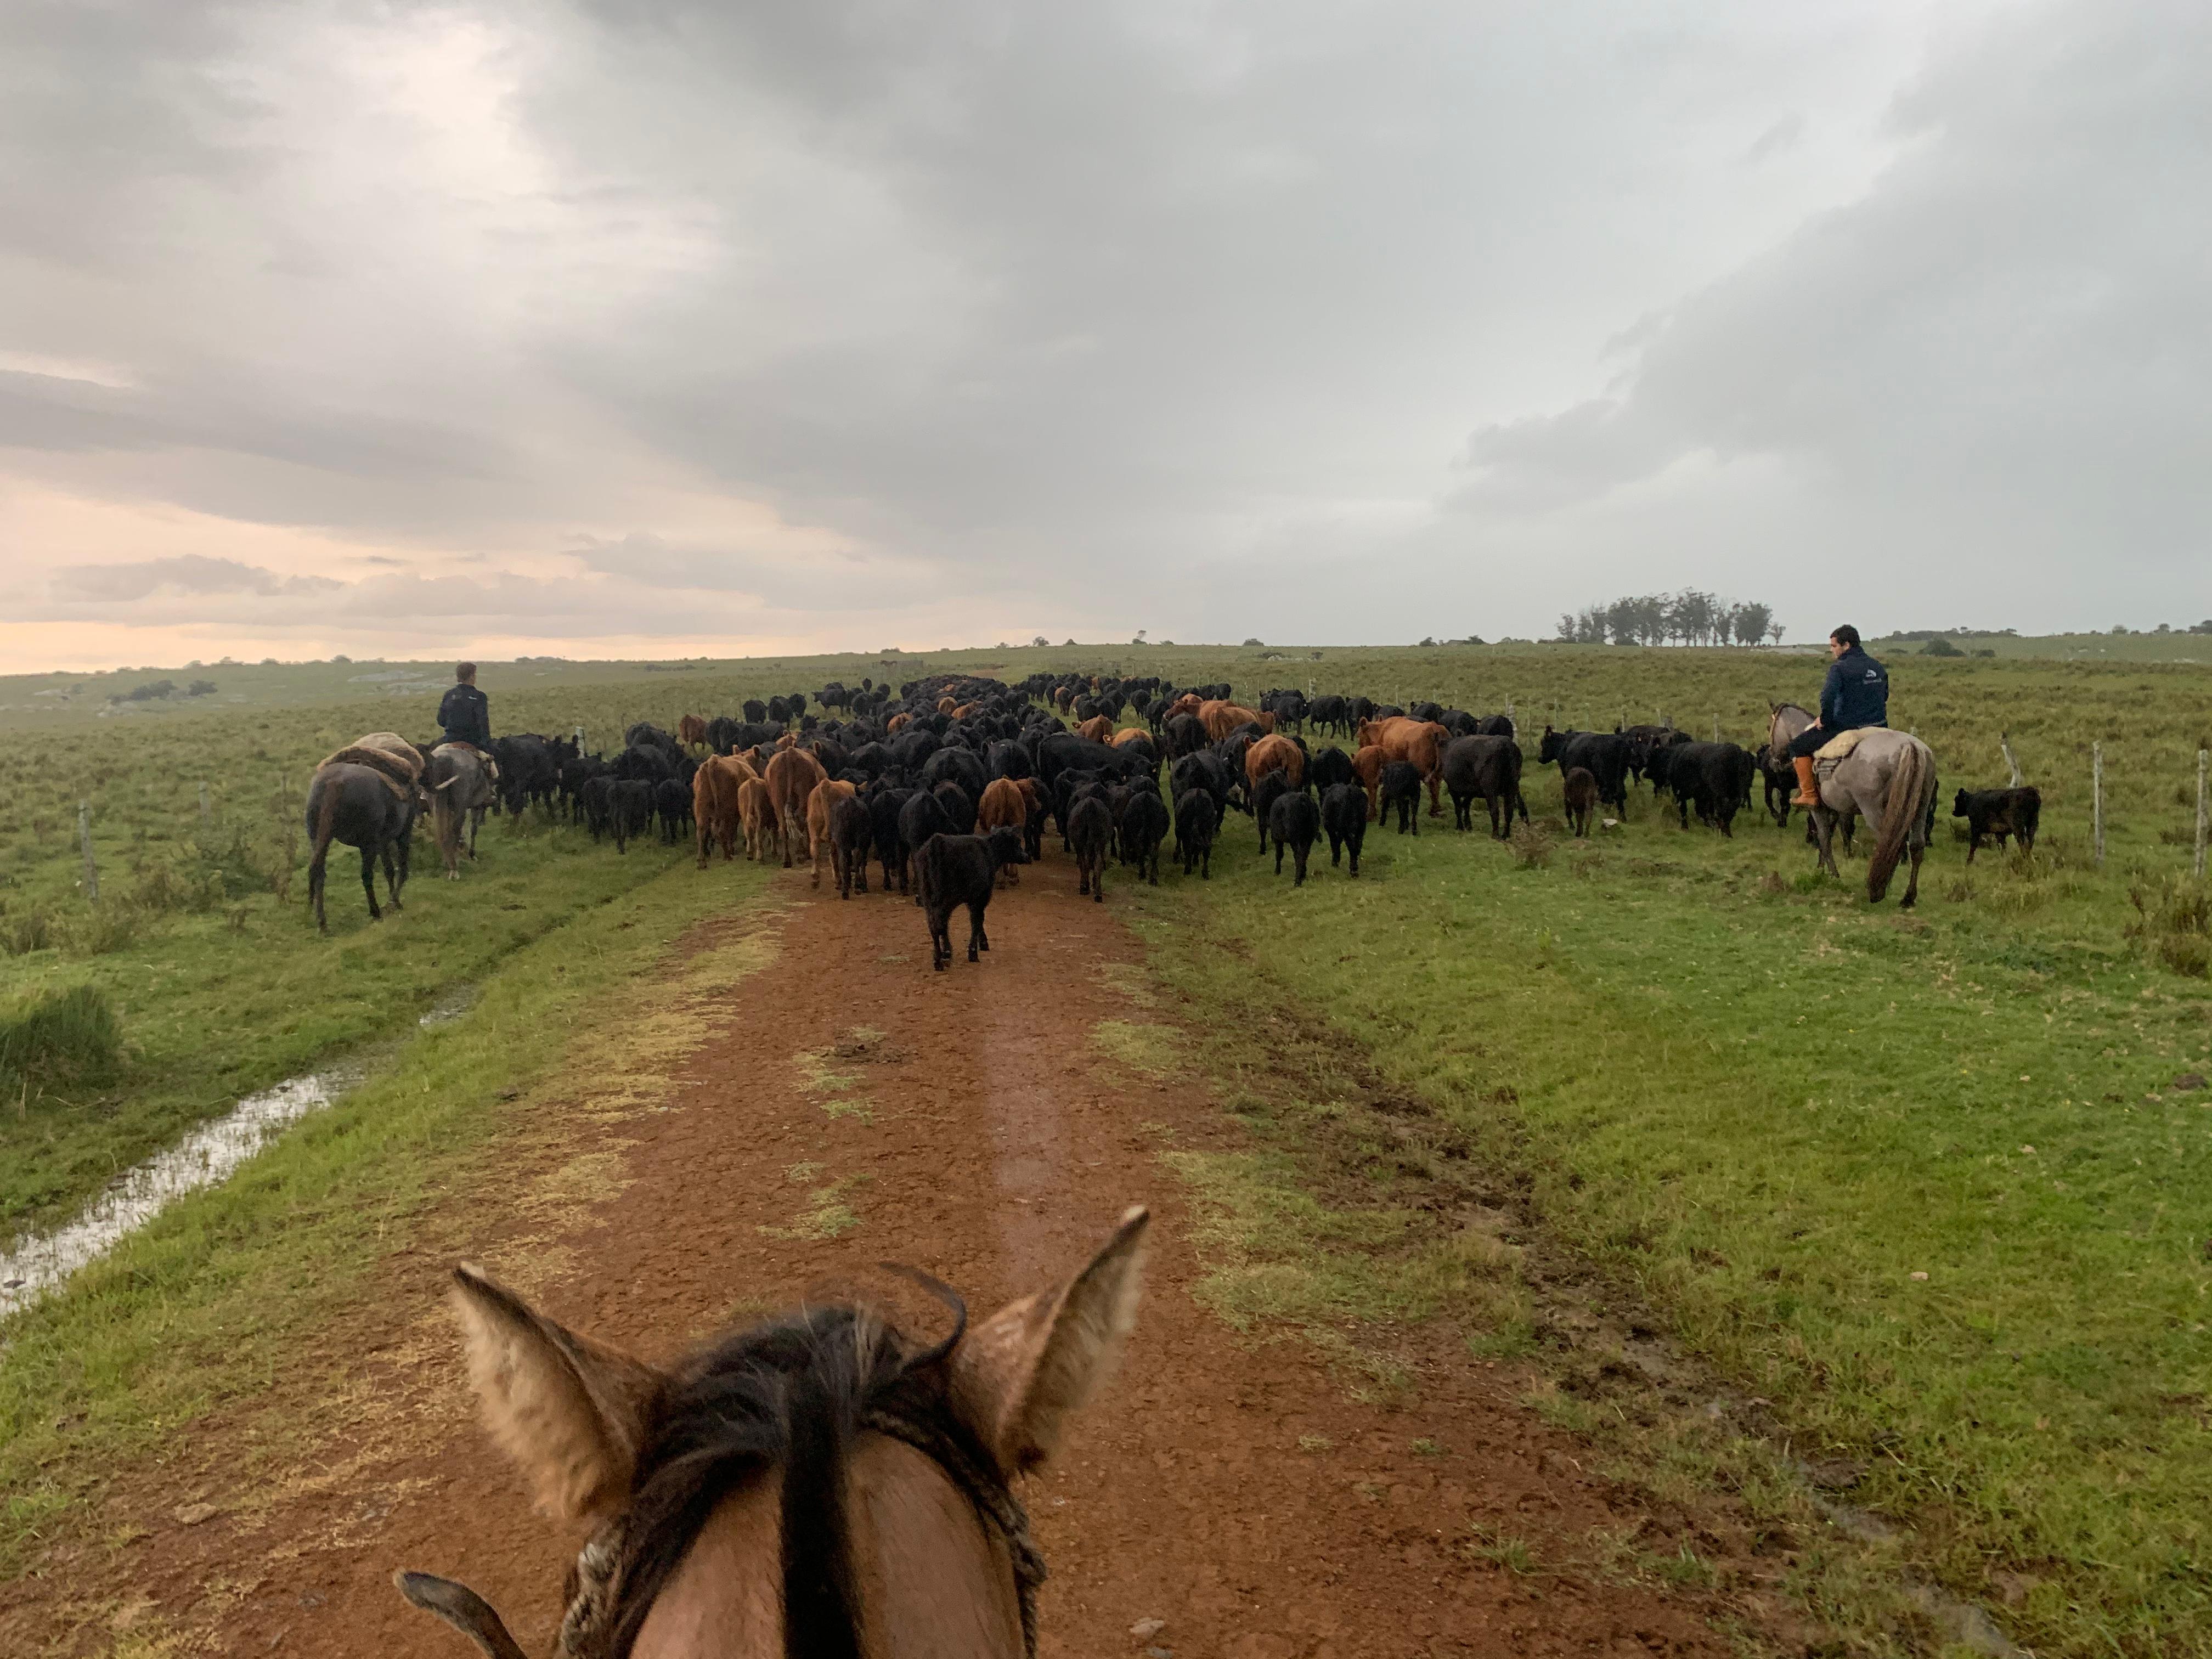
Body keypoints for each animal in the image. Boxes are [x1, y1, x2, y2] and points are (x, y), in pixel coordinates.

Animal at [915, 827, 1030, 970]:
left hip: (928, 898)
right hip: (946, 899)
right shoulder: (980, 897)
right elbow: (977, 921)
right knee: (940, 924)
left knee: (935, 925)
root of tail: (936, 843)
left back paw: (940, 958)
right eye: (1017, 841)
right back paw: (943, 957)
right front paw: (974, 952)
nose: (1026, 856)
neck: (990, 853)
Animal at [1270, 790, 1321, 885]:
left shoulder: (1277, 838)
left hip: (1295, 838)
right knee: (1305, 854)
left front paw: (1277, 872)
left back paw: (1297, 881)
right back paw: (1302, 875)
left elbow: (1279, 854)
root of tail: (1303, 799)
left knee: (1299, 855)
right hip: (1309, 837)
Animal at [1321, 782, 1367, 875]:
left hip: (1345, 829)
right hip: (1361, 828)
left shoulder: (1331, 829)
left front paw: (1335, 863)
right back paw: (1355, 869)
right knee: (1358, 846)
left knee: (1351, 846)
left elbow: (1334, 844)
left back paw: (1353, 871)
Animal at [1953, 787, 2041, 861]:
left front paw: (1969, 862)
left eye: (1957, 800)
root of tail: (2030, 791)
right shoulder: (1999, 832)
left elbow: (1973, 845)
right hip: (2032, 824)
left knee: (2023, 841)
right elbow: (2003, 846)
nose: (1954, 812)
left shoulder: (1975, 828)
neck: (1971, 801)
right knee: (2030, 840)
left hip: (2018, 827)